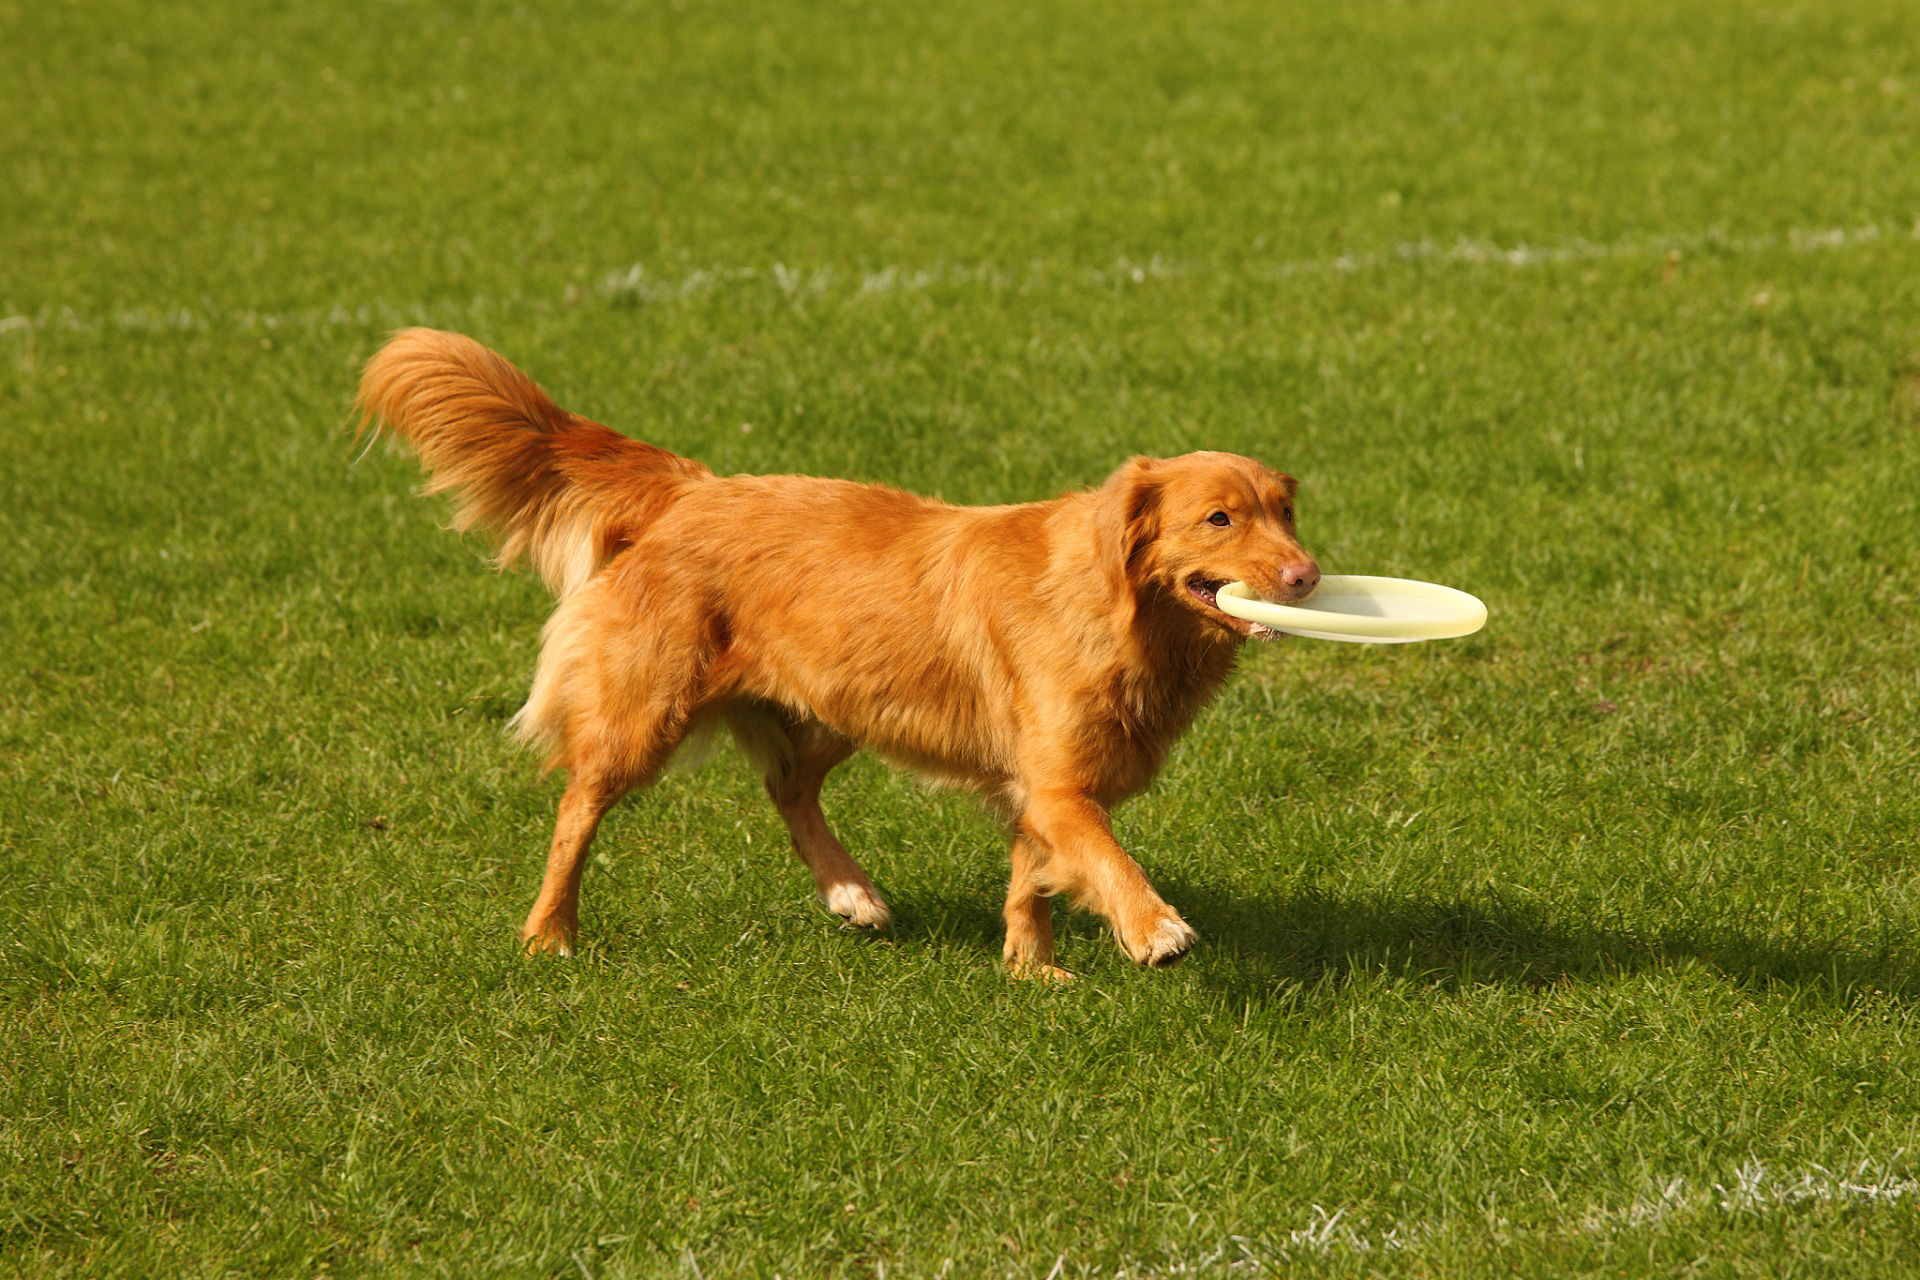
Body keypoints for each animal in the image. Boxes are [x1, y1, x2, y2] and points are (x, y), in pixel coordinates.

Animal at [357, 326, 1320, 974]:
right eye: (1219, 519)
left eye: (1286, 512)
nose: (1308, 576)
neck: (1120, 610)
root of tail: (689, 489)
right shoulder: (1057, 782)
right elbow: (1107, 859)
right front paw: (1152, 928)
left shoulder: (1034, 782)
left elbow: (1030, 875)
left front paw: (1030, 969)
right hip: (647, 714)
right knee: (577, 810)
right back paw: (548, 934)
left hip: (842, 701)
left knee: (788, 788)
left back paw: (850, 892)